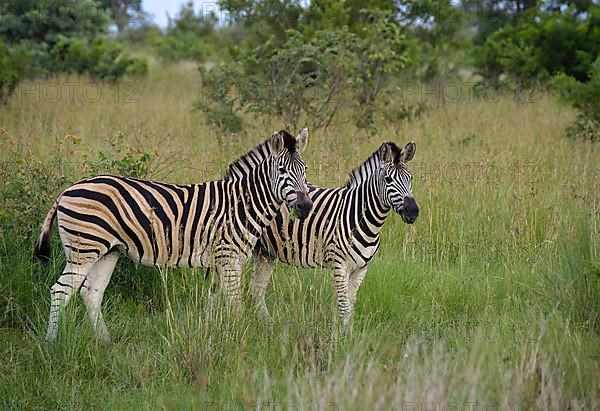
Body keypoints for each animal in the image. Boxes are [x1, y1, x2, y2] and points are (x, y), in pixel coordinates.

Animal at [36, 130, 314, 344]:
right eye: (282, 170)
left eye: (305, 170)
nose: (305, 207)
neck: (241, 204)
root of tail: (67, 190)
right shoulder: (228, 256)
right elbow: (234, 302)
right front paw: (239, 336)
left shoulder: (219, 260)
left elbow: (214, 300)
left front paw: (212, 334)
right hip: (83, 249)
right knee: (60, 290)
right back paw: (50, 342)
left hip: (108, 251)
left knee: (91, 293)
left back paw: (106, 342)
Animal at [252, 142, 418, 332]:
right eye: (389, 180)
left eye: (410, 178)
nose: (413, 211)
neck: (361, 219)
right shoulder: (339, 264)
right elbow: (344, 306)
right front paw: (344, 337)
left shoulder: (361, 268)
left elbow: (349, 305)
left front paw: (345, 334)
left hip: (265, 252)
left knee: (257, 289)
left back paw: (267, 327)